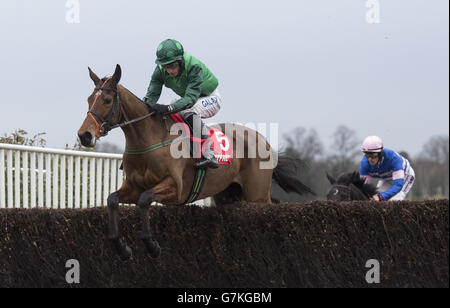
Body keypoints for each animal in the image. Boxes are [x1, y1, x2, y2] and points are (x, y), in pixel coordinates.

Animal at [77, 64, 314, 260]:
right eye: (89, 99)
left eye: (107, 100)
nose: (85, 135)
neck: (149, 139)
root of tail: (264, 140)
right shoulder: (133, 187)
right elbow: (112, 200)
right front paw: (122, 248)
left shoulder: (175, 188)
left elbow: (144, 201)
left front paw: (152, 246)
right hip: (230, 195)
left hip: (256, 195)